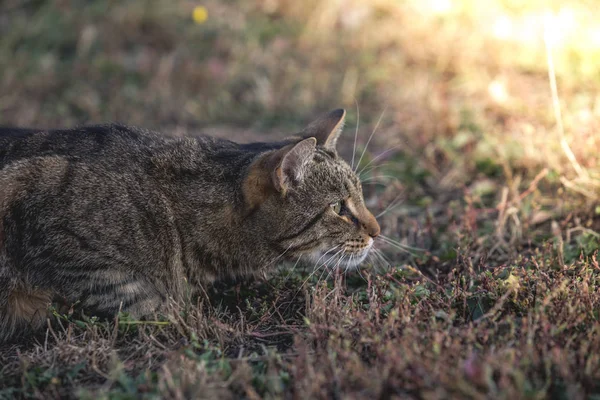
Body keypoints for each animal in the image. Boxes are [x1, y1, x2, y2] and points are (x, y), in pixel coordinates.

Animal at [0, 110, 380, 344]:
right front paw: (182, 313)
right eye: (338, 208)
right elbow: (133, 294)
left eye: (361, 196)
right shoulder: (45, 211)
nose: (377, 231)